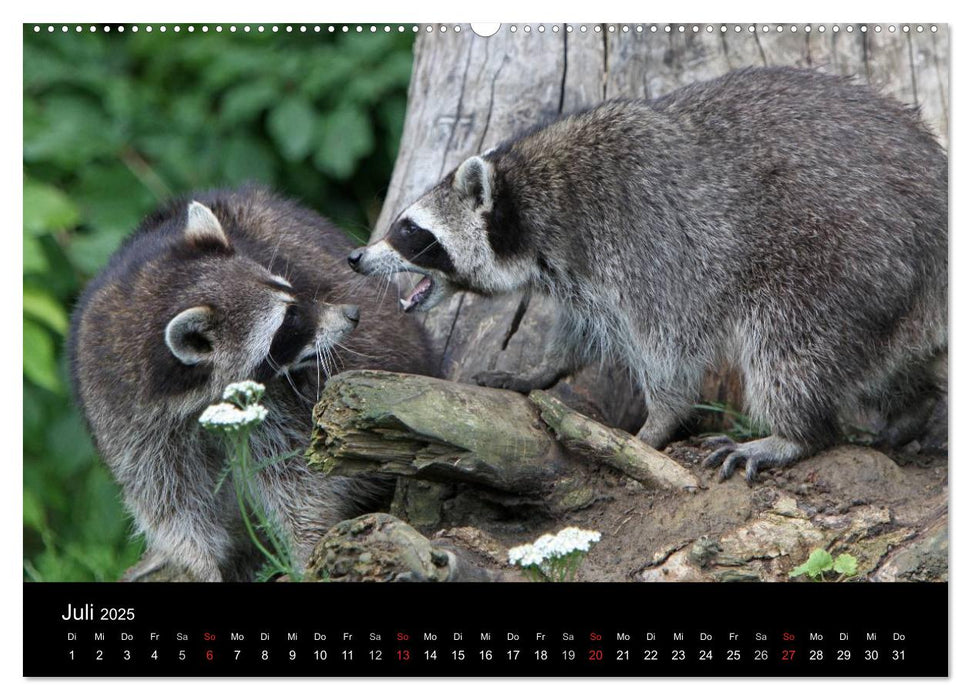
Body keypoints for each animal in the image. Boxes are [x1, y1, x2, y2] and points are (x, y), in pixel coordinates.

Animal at [68, 186, 432, 580]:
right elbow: (168, 500)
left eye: (292, 293)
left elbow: (295, 472)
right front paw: (196, 563)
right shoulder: (122, 411)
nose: (351, 314)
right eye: (289, 320)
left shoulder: (276, 396)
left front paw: (306, 545)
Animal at [350, 68, 948, 484]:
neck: (538, 196)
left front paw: (656, 425)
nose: (356, 257)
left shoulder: (649, 241)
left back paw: (794, 434)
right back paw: (910, 408)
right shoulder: (584, 276)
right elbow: (585, 329)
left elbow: (672, 347)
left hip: (841, 257)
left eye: (409, 231)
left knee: (787, 345)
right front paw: (543, 369)